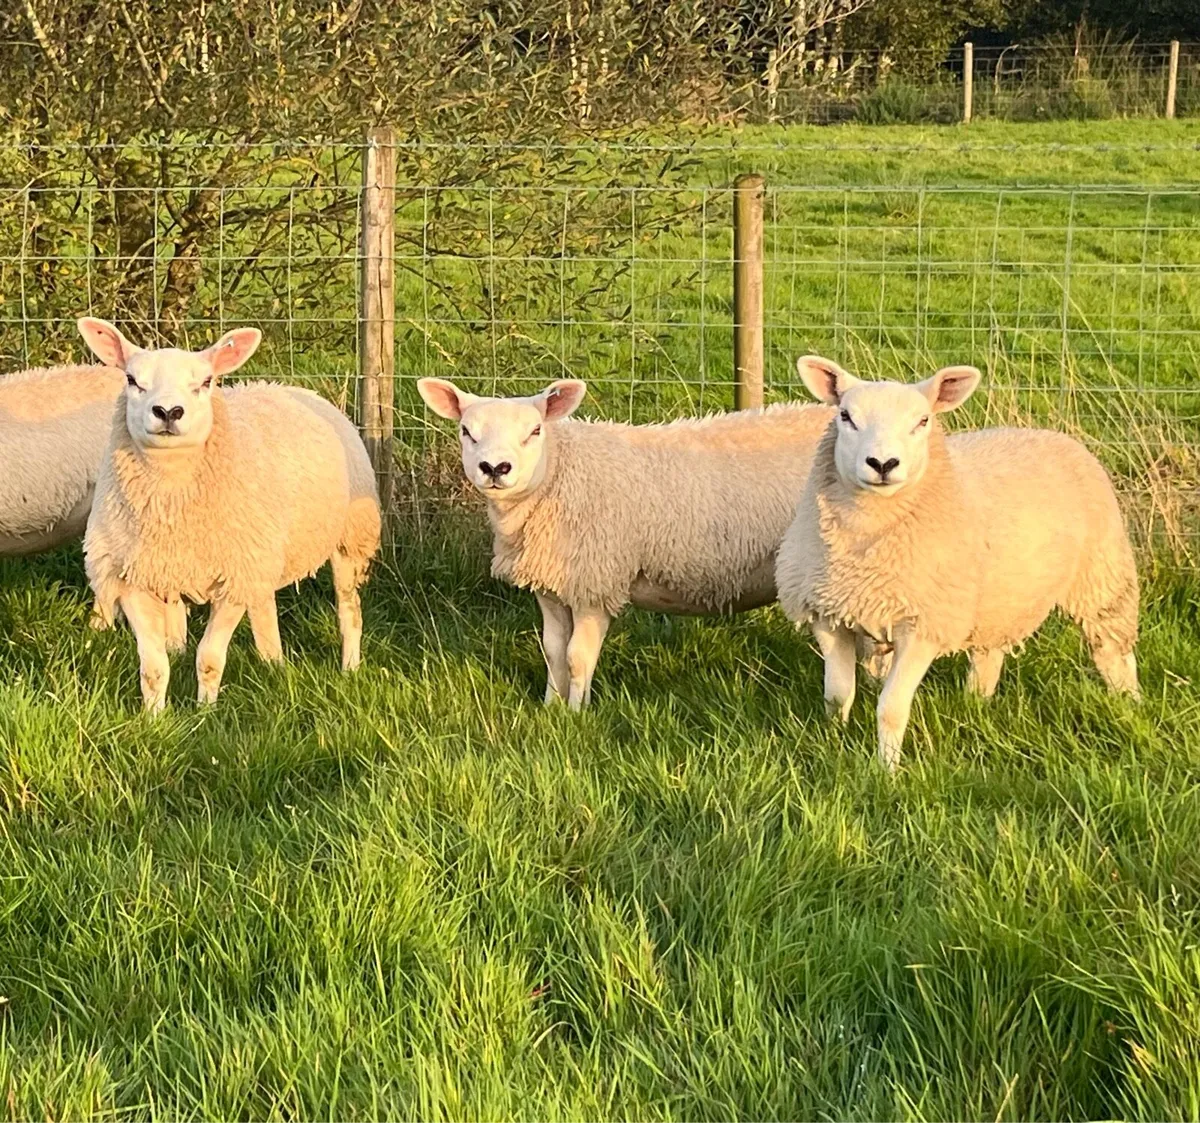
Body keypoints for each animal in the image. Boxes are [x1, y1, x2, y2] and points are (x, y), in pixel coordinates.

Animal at [77, 317, 382, 712]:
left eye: (205, 382)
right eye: (131, 379)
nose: (168, 412)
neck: (170, 497)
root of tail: (285, 387)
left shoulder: (233, 577)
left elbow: (209, 658)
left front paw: (205, 710)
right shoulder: (130, 576)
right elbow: (153, 666)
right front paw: (153, 715)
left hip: (350, 539)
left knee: (348, 609)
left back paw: (350, 666)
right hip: (255, 553)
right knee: (263, 604)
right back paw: (272, 662)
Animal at [417, 376, 888, 710]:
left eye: (534, 431)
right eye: (466, 431)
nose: (495, 468)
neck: (560, 473)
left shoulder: (596, 581)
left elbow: (576, 658)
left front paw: (575, 716)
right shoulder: (552, 586)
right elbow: (552, 652)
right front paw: (550, 707)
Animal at [775, 355, 1140, 770]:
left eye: (923, 421)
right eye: (846, 416)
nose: (882, 463)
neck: (865, 551)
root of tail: (1050, 433)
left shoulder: (923, 626)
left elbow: (891, 708)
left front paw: (887, 770)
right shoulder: (828, 616)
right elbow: (837, 696)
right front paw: (834, 745)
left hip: (1102, 576)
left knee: (1113, 651)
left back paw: (1128, 706)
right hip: (999, 598)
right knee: (989, 654)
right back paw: (976, 703)